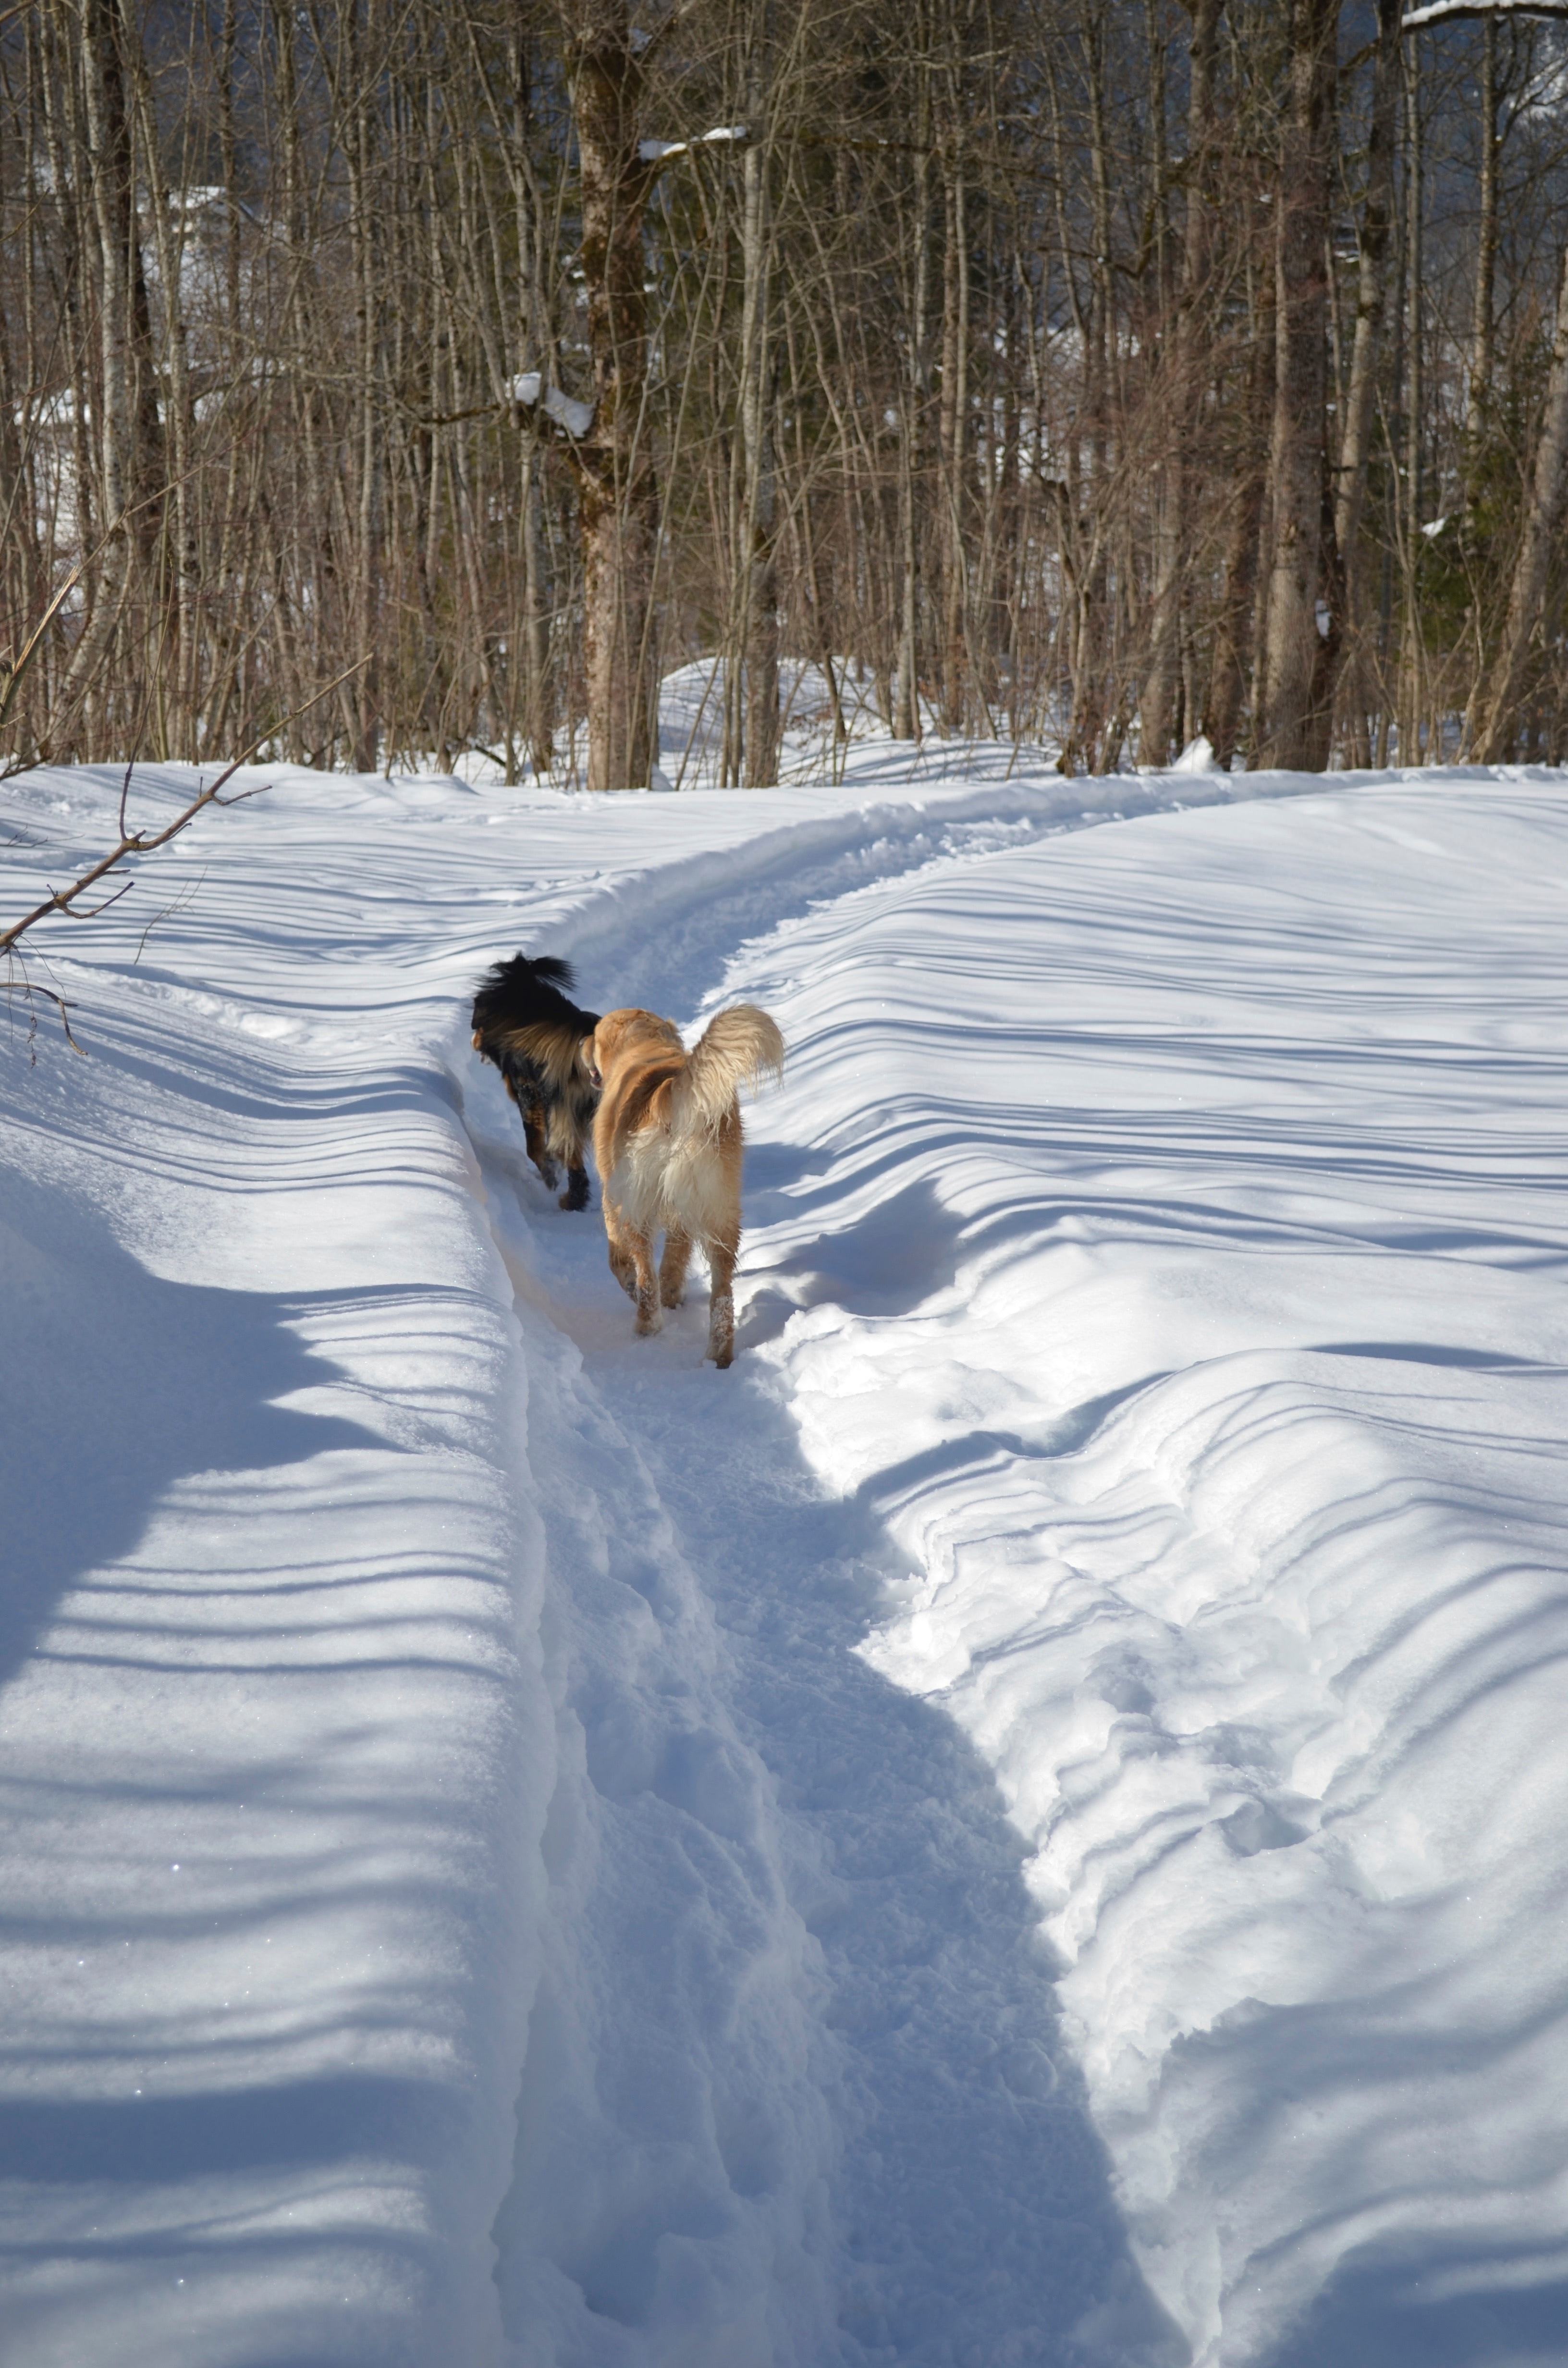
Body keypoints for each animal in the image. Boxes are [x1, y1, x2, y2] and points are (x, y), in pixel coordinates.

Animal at [466, 952, 601, 1212]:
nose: (473, 1041)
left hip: (560, 1109)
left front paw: (550, 1173)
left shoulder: (529, 1092)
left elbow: (534, 1145)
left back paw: (570, 1202)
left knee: (577, 1169)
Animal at [582, 1004, 786, 1373]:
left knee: (645, 1275)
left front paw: (638, 1288)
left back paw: (647, 1326)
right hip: (721, 1209)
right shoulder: (683, 1214)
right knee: (722, 1294)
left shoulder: (613, 1196)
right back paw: (719, 1354)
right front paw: (674, 1295)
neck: (646, 1048)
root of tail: (666, 1091)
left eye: (595, 1033)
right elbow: (675, 1260)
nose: (582, 1043)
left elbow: (620, 1261)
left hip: (637, 1208)